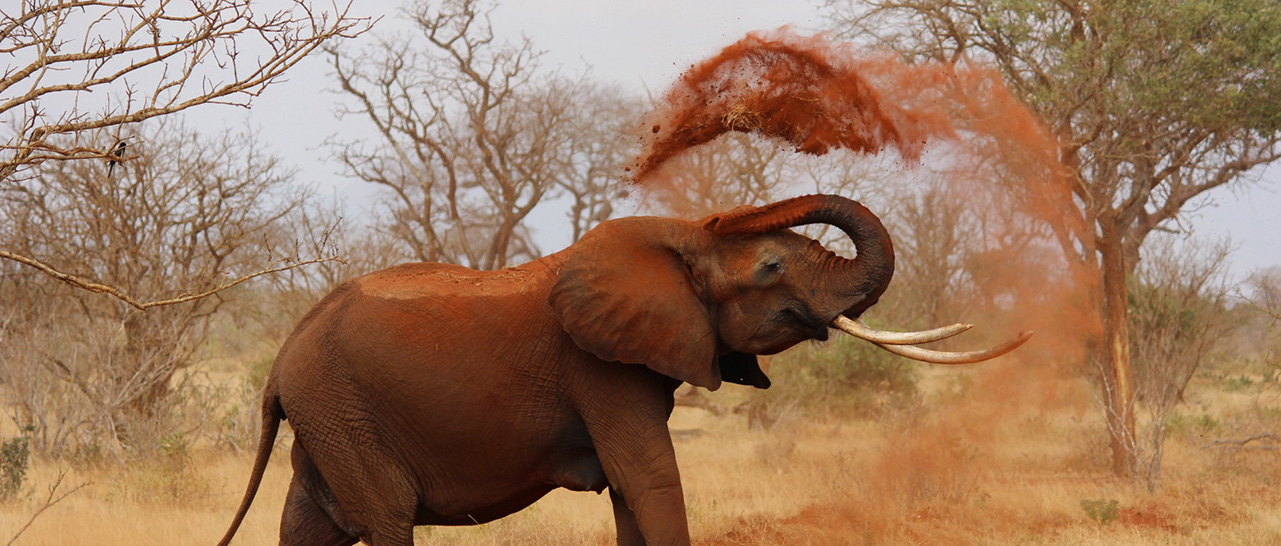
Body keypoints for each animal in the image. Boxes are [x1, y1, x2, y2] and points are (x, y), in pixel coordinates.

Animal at [215, 193, 1024, 543]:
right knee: (383, 523)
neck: (675, 237)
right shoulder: (598, 368)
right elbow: (652, 479)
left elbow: (634, 493)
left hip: (328, 418)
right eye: (769, 267)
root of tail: (281, 358)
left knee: (311, 523)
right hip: (343, 410)